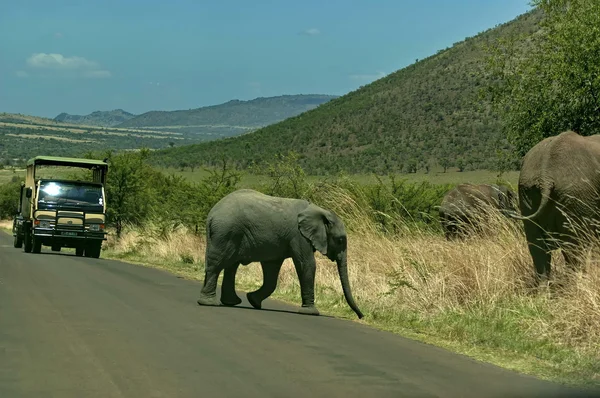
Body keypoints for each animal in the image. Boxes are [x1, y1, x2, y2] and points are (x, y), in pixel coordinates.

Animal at [197, 187, 366, 320]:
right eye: (340, 240)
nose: (361, 316)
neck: (320, 210)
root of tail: (211, 214)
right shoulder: (299, 236)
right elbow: (307, 264)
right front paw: (311, 313)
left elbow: (272, 270)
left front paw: (253, 301)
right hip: (226, 231)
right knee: (217, 264)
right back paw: (209, 303)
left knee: (231, 266)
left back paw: (231, 302)